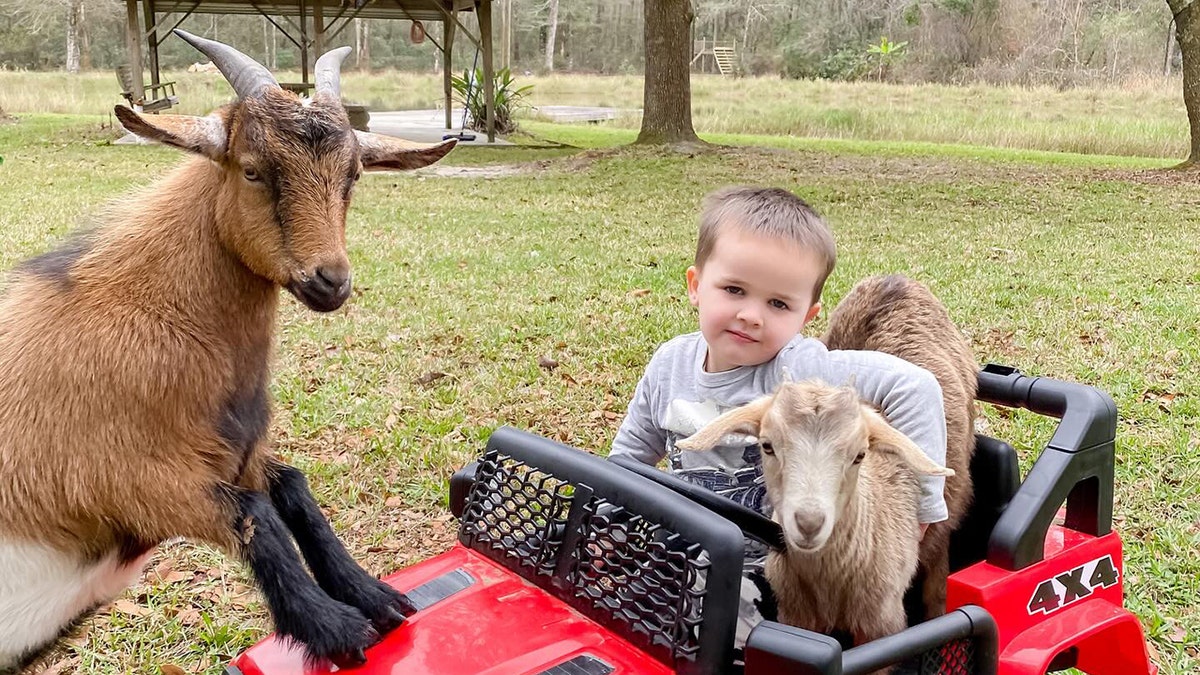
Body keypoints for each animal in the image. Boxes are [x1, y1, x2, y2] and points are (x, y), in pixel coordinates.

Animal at [0, 30, 453, 667]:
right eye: (252, 170)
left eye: (355, 175)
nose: (331, 281)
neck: (144, 314)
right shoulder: (127, 481)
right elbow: (253, 516)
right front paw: (334, 627)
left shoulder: (236, 457)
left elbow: (291, 486)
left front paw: (374, 595)